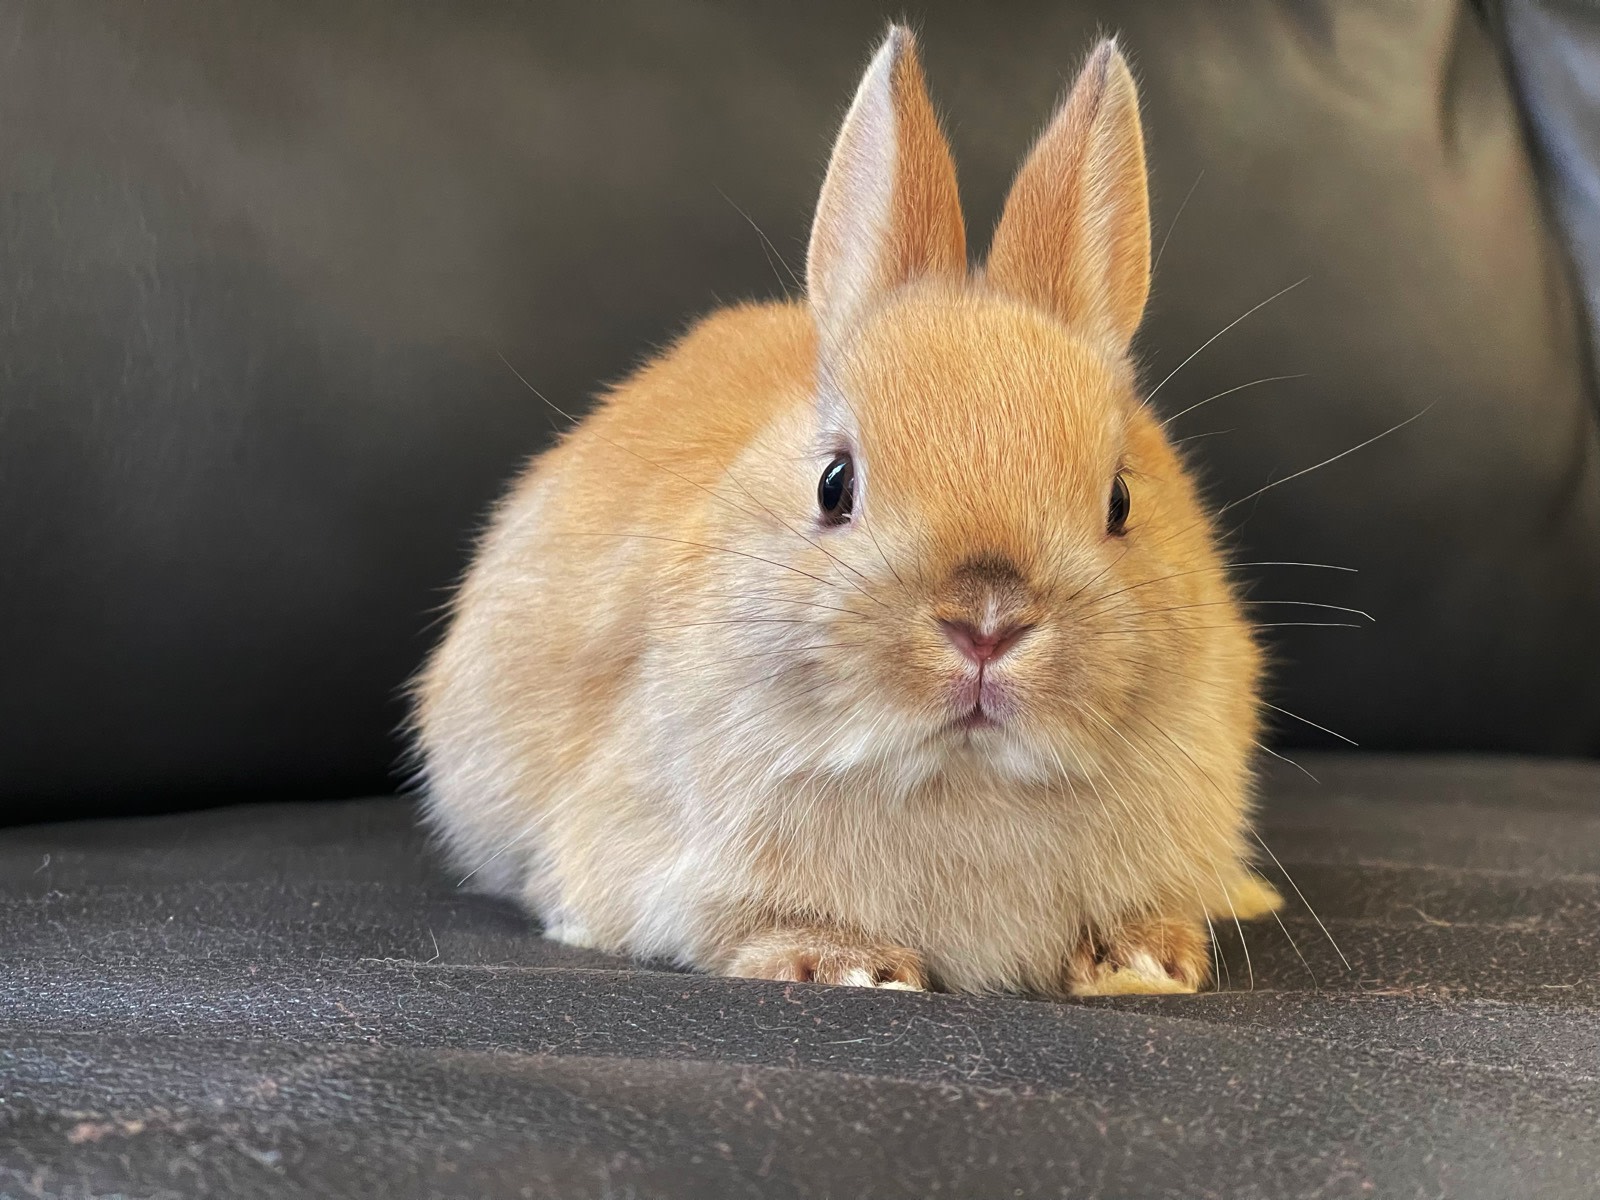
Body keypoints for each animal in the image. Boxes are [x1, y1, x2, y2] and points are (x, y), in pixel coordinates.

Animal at [413, 26, 1283, 996]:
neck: (959, 778)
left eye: (1122, 500)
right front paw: (854, 968)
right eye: (835, 485)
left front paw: (1142, 961)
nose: (988, 622)